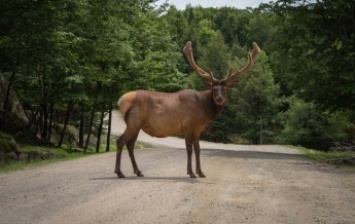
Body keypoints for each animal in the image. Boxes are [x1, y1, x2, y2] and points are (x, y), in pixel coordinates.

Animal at [115, 40, 260, 178]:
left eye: (225, 89)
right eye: (213, 88)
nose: (219, 98)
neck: (204, 110)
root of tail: (120, 100)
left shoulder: (198, 129)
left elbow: (198, 149)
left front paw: (201, 172)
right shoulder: (188, 125)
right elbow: (189, 149)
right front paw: (191, 172)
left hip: (136, 124)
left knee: (130, 145)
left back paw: (138, 172)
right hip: (134, 121)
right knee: (120, 141)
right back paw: (119, 172)